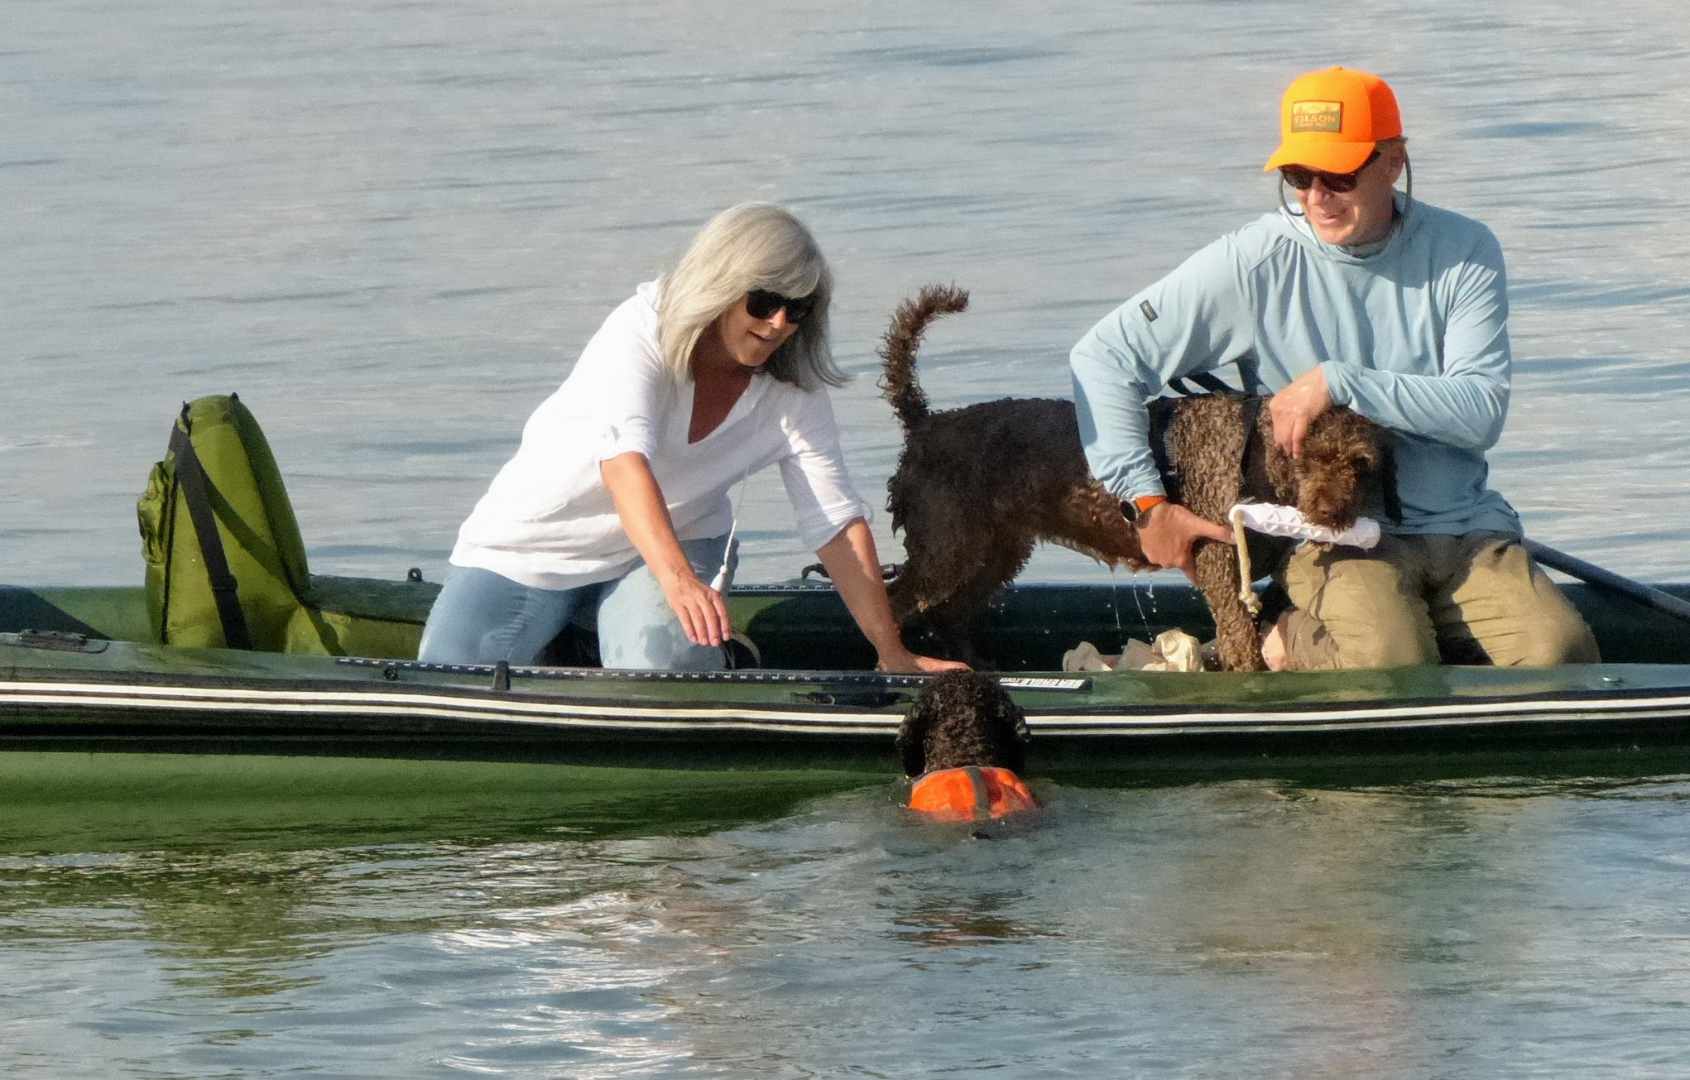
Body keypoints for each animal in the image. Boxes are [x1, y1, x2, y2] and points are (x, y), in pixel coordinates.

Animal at [878, 283, 1392, 672]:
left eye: (1360, 463)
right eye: (1310, 454)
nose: (1332, 512)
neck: (1253, 452)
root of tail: (925, 423)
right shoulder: (1221, 570)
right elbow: (1241, 644)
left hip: (995, 551)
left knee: (950, 614)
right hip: (946, 549)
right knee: (894, 601)